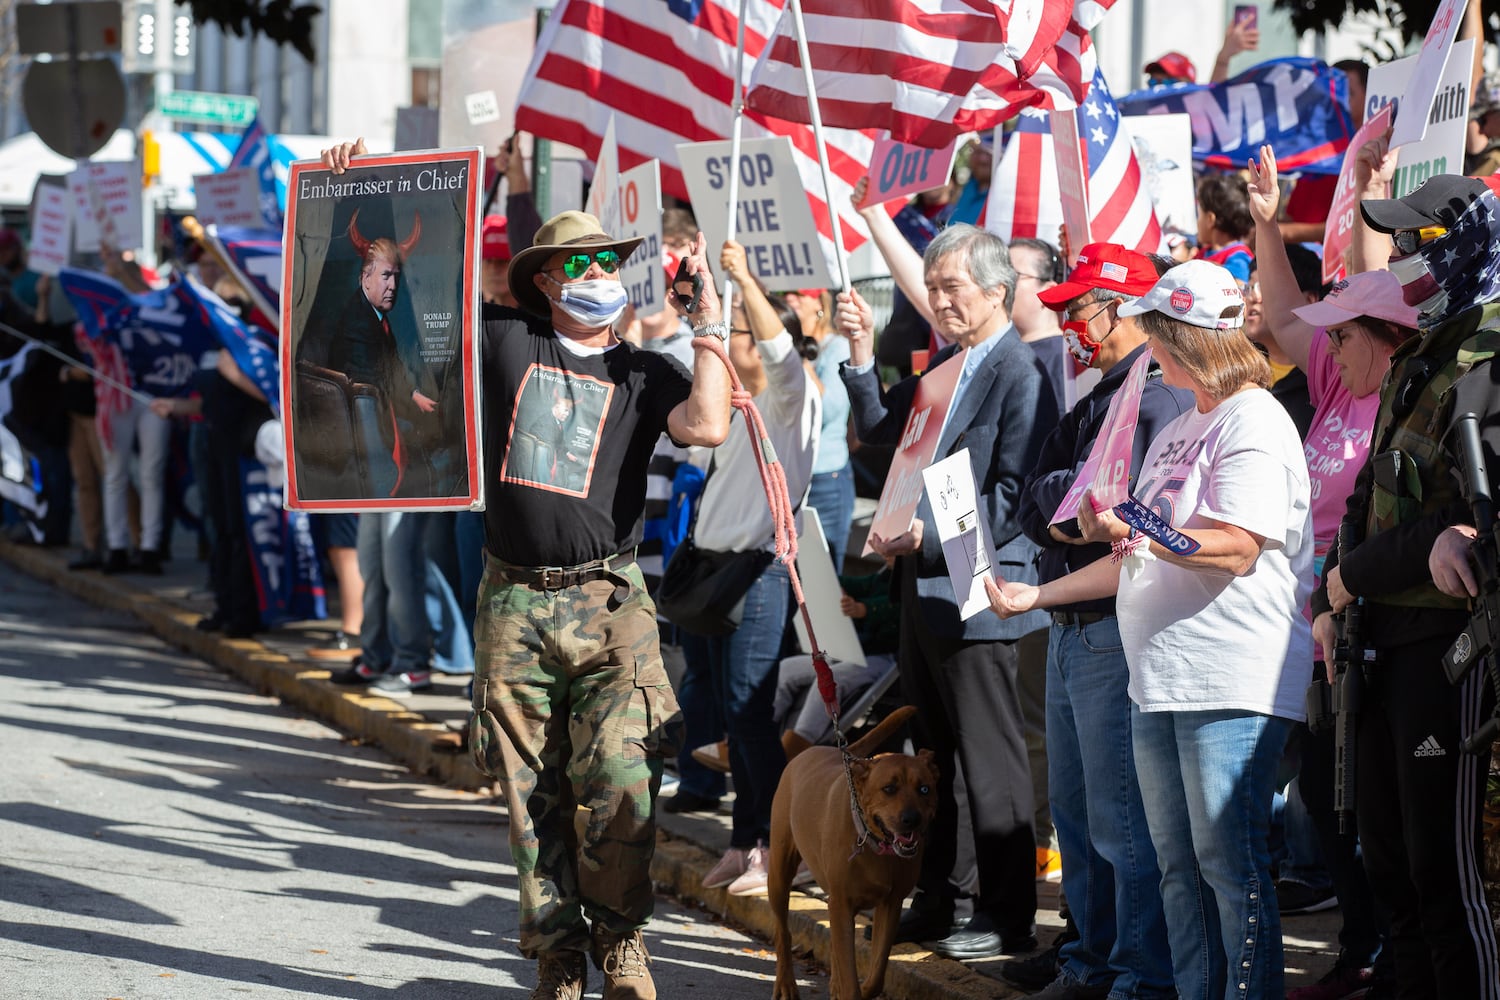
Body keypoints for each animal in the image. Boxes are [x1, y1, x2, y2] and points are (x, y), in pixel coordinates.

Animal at [774, 704, 936, 1000]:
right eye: (889, 788)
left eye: (924, 789)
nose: (912, 819)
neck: (876, 845)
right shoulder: (841, 903)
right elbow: (849, 974)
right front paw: (847, 988)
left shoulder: (890, 905)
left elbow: (876, 973)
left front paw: (858, 987)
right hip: (779, 873)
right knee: (783, 933)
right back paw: (786, 984)